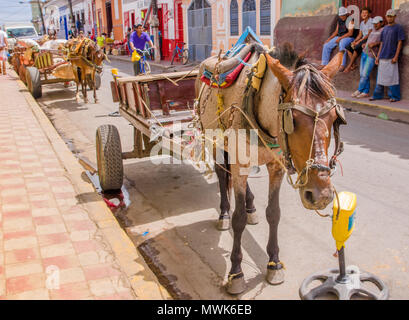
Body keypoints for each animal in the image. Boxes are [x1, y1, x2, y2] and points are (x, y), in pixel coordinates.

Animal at [195, 43, 348, 296]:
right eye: (292, 119)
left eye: (335, 117)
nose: (322, 195)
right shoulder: (239, 162)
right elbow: (238, 220)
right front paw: (236, 273)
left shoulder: (276, 166)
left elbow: (274, 213)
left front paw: (274, 263)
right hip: (214, 139)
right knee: (221, 174)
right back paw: (224, 213)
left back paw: (251, 208)